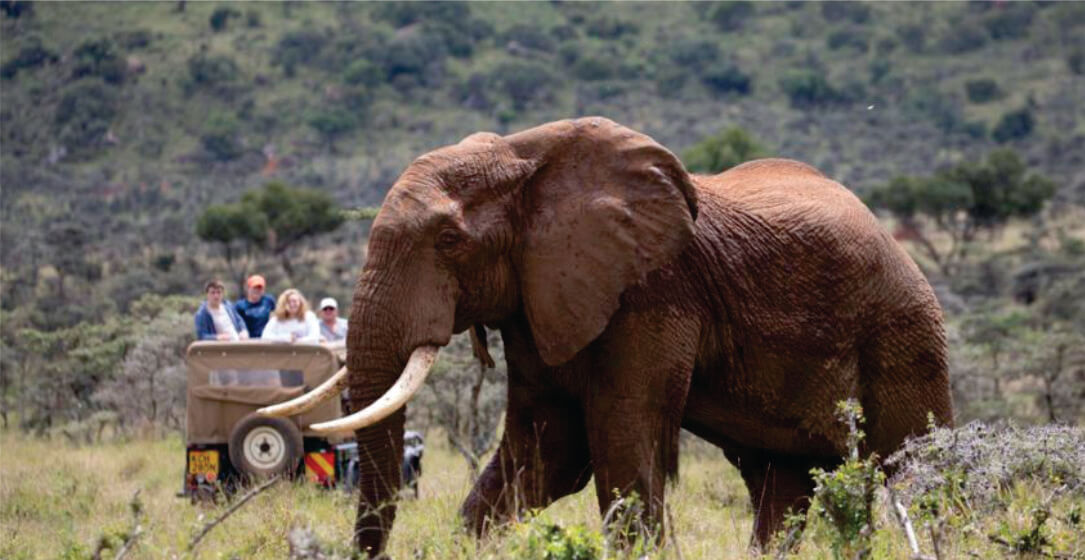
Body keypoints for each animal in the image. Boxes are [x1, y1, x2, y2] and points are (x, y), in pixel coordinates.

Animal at [260, 117, 952, 556]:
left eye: (450, 240)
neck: (522, 158)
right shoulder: (540, 294)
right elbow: (546, 450)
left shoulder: (652, 291)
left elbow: (620, 435)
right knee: (780, 481)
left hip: (906, 330)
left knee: (917, 469)